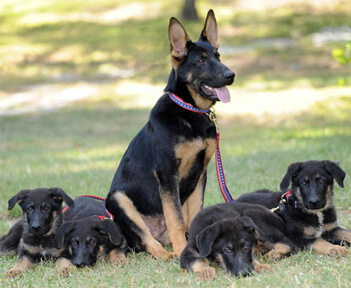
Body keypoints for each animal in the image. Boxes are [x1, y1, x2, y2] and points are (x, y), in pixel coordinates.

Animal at [106, 9, 235, 258]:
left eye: (218, 55)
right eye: (201, 60)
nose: (231, 75)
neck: (191, 111)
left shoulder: (200, 172)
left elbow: (193, 215)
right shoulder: (167, 174)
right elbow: (175, 218)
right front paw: (182, 250)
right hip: (118, 199)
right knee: (147, 239)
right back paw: (165, 253)